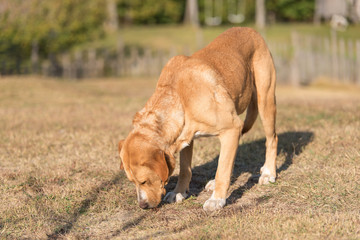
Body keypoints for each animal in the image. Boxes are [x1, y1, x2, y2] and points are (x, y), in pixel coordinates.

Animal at [118, 28, 278, 211]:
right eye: (132, 182)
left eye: (144, 181)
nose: (142, 205)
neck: (179, 98)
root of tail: (251, 30)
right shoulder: (186, 139)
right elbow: (185, 170)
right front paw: (179, 192)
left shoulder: (232, 127)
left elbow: (222, 170)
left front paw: (217, 199)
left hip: (265, 100)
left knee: (271, 139)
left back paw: (268, 173)